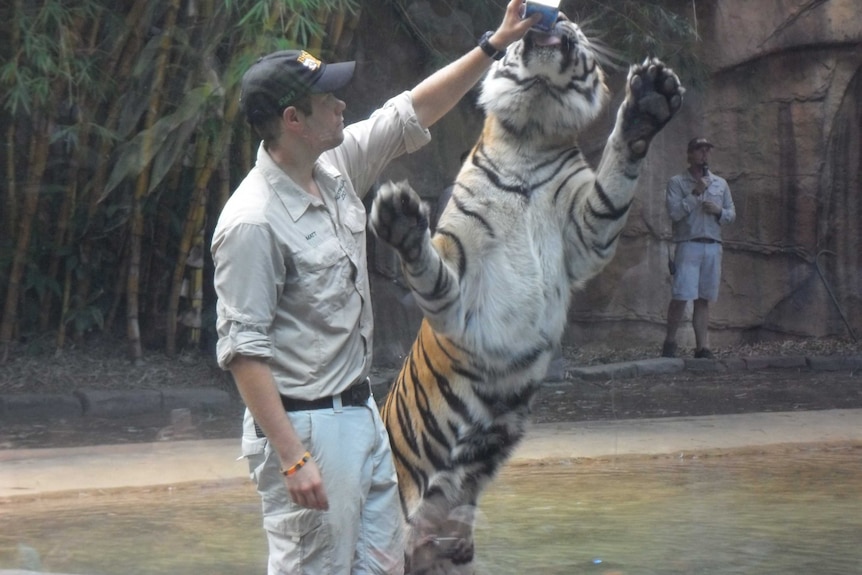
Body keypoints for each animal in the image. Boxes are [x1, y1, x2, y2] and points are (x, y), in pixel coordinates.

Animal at [372, 10, 680, 575]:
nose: (555, 18)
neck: (530, 136)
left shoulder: (586, 232)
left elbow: (614, 186)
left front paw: (649, 102)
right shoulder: (456, 284)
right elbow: (429, 268)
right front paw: (403, 221)